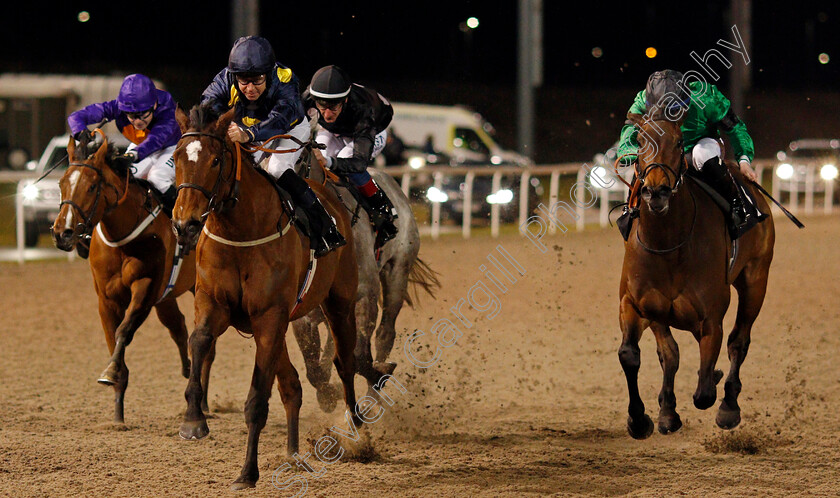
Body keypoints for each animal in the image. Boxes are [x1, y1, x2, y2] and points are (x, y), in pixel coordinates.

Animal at [50, 133, 199, 424]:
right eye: (62, 183)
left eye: (92, 186)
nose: (63, 233)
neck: (122, 239)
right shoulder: (107, 299)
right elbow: (112, 337)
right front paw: (117, 413)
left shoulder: (145, 288)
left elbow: (123, 330)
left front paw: (110, 372)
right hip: (167, 296)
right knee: (178, 326)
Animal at [172, 106, 360, 490]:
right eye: (176, 157)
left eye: (215, 160)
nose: (185, 224)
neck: (241, 231)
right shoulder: (213, 304)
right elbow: (199, 341)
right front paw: (193, 420)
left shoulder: (269, 316)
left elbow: (257, 400)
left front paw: (248, 472)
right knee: (292, 385)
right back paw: (293, 454)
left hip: (339, 304)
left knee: (345, 365)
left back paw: (357, 437)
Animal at [616, 113, 776, 440]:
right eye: (639, 140)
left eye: (679, 142)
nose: (656, 191)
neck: (668, 246)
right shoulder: (637, 304)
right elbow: (637, 355)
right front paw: (645, 418)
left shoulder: (710, 319)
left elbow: (704, 392)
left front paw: (714, 387)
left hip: (756, 280)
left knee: (739, 340)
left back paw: (729, 406)